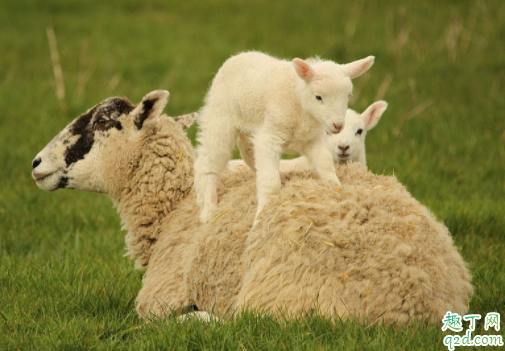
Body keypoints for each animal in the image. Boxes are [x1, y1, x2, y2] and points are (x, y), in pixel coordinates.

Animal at [32, 90, 472, 328]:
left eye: (102, 122)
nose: (36, 163)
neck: (176, 204)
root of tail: (414, 305)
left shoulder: (162, 290)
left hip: (280, 286)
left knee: (249, 323)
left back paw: (199, 318)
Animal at [193, 51, 374, 223]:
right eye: (318, 97)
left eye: (348, 96)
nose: (338, 125)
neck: (299, 102)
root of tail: (238, 56)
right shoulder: (270, 137)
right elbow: (271, 182)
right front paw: (262, 216)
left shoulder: (312, 139)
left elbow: (325, 164)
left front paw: (335, 188)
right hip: (221, 117)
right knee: (209, 160)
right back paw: (208, 210)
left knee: (248, 152)